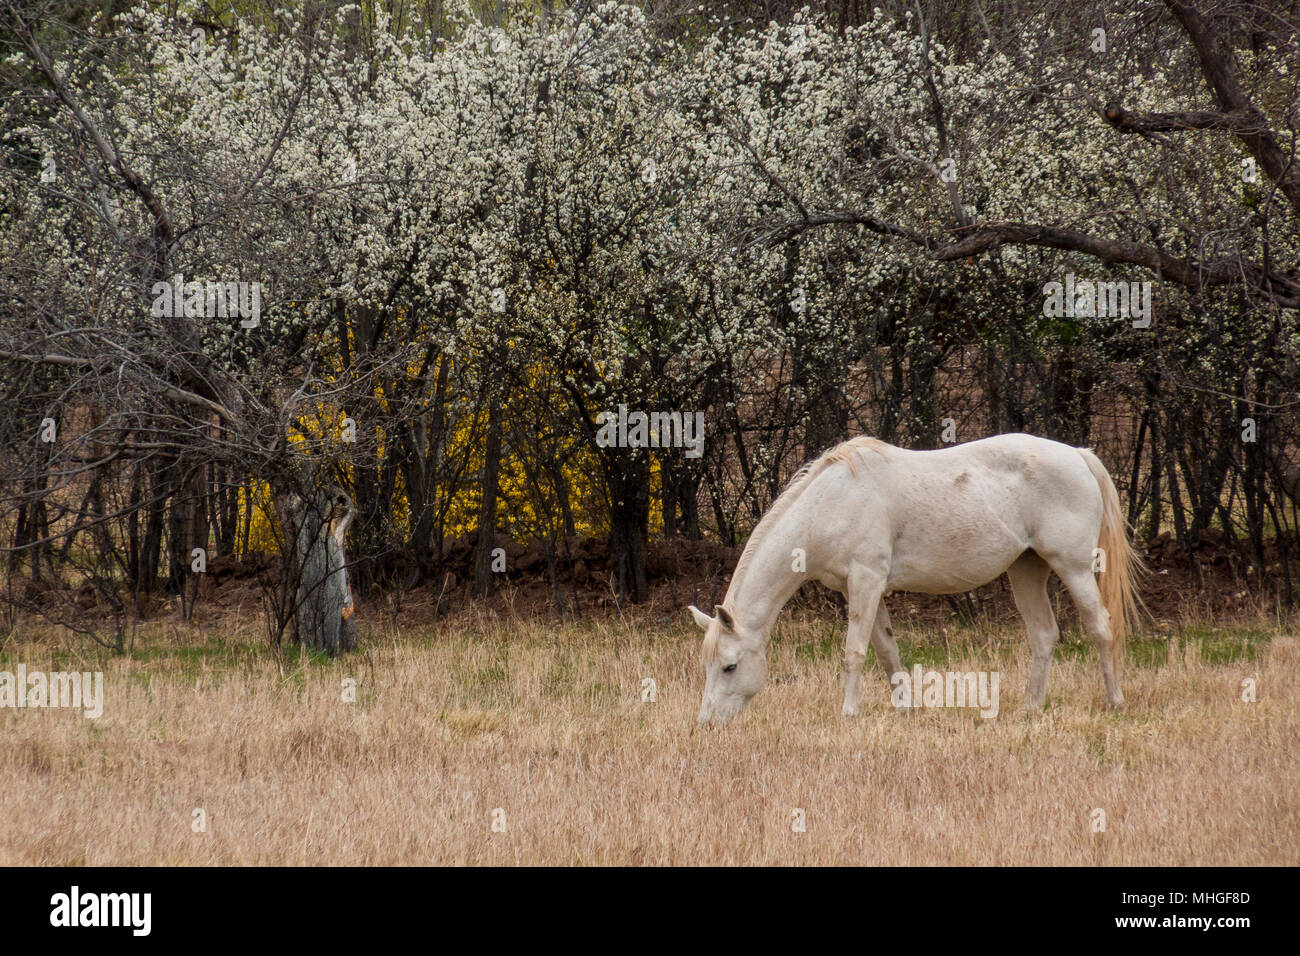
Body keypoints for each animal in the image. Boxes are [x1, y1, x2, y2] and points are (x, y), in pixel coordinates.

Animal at [689, 433, 1143, 724]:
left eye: (729, 666)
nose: (707, 723)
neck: (831, 502)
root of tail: (1078, 455)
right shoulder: (862, 589)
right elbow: (887, 650)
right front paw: (904, 708)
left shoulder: (866, 581)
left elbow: (854, 652)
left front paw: (848, 713)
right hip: (1026, 568)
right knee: (1045, 635)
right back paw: (1031, 707)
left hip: (1074, 568)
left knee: (1100, 627)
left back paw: (1116, 702)